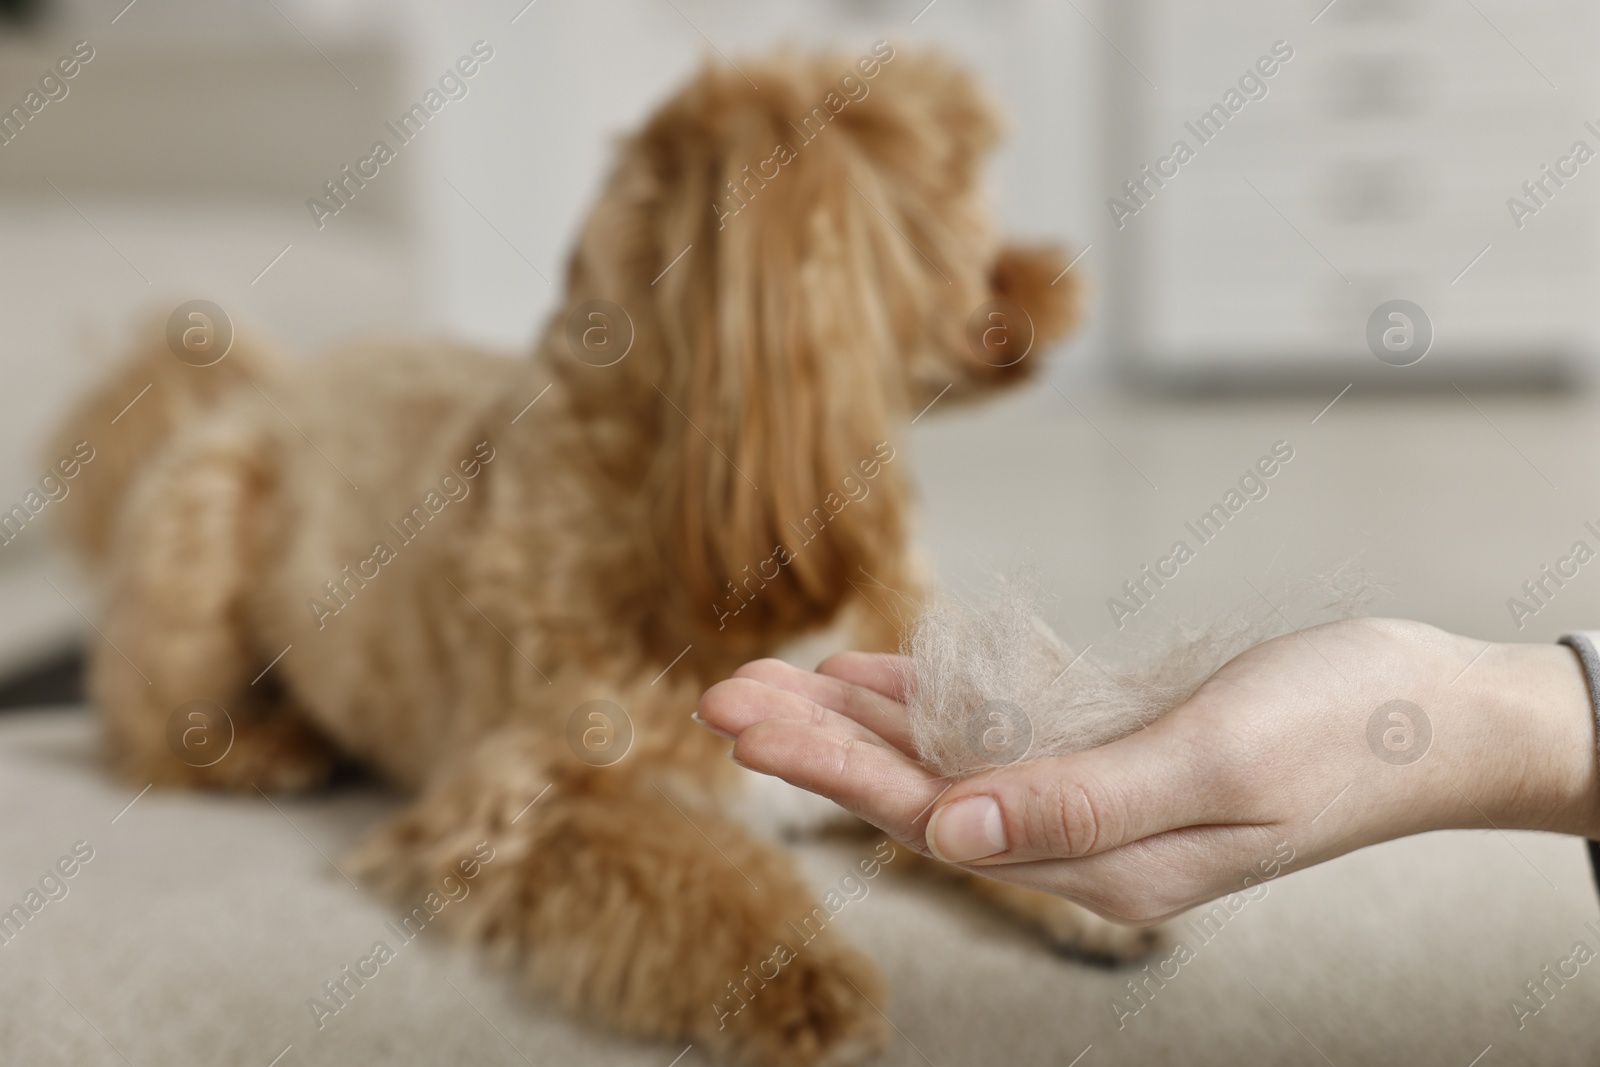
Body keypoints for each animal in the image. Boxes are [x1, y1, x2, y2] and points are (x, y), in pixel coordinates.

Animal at [53, 47, 1139, 1067]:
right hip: (199, 536)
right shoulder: (526, 804)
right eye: (964, 186)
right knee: (151, 729)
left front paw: (1081, 881)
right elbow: (704, 872)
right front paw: (804, 983)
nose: (1066, 270)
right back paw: (264, 747)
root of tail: (253, 390)